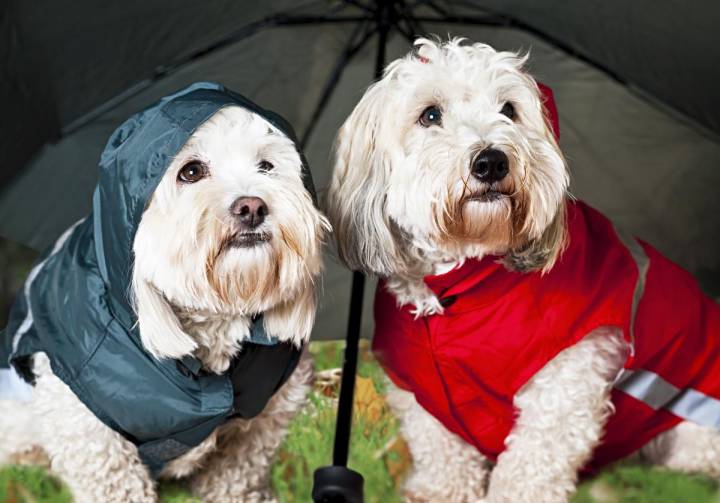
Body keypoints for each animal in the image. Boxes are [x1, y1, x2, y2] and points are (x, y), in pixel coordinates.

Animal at [0, 84, 330, 502]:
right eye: (191, 171)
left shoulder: (276, 402)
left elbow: (239, 468)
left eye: (267, 167)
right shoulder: (85, 427)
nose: (252, 206)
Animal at [326, 37, 720, 502]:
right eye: (430, 115)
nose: (492, 161)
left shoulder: (566, 382)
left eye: (509, 110)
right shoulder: (422, 393)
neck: (461, 287)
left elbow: (530, 465)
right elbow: (442, 453)